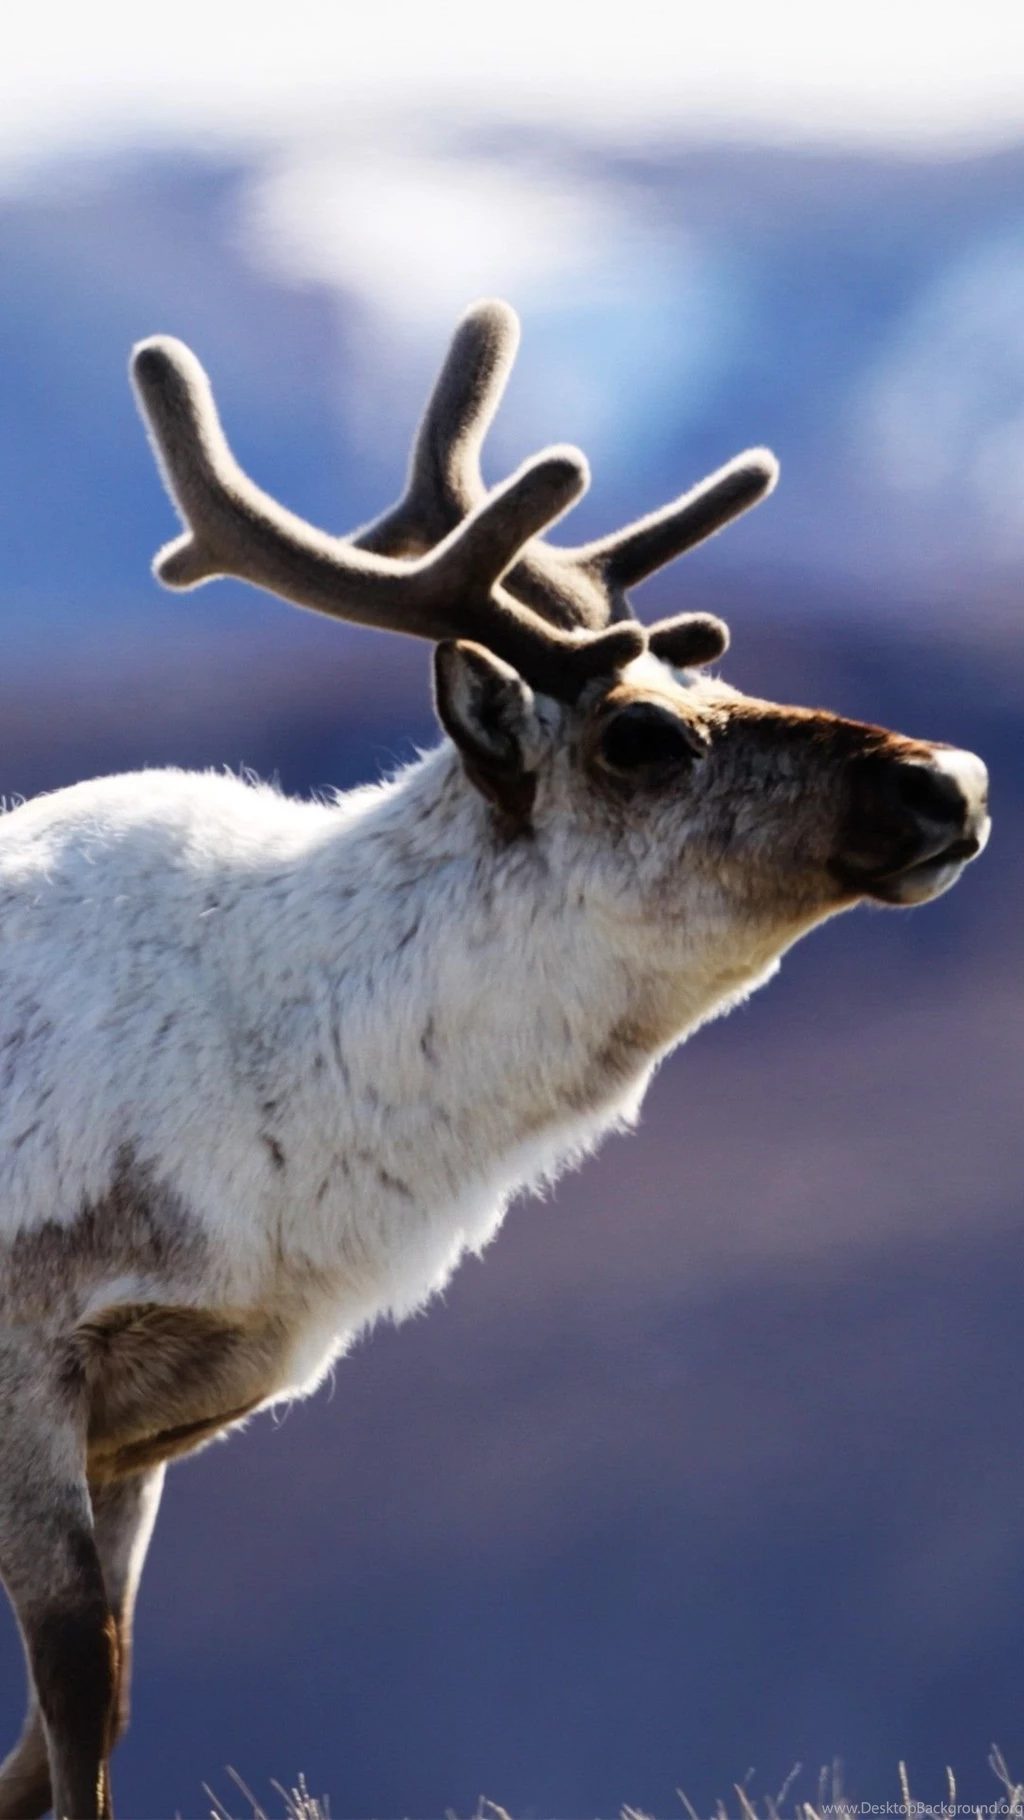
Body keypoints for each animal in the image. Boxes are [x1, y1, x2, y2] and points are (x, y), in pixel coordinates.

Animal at [0, 298, 989, 1820]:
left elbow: (64, 1734)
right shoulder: (32, 1368)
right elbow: (78, 1693)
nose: (951, 780)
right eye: (639, 734)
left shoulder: (144, 1424)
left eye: (712, 670)